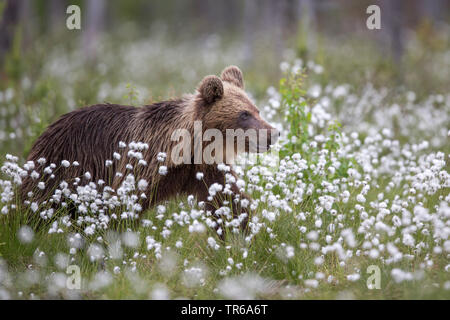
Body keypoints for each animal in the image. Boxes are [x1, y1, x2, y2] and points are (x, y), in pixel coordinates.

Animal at [21, 65, 278, 231]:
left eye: (256, 109)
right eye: (244, 114)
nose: (272, 133)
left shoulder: (205, 168)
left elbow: (228, 199)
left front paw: (242, 233)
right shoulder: (142, 163)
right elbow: (122, 204)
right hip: (60, 165)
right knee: (35, 201)